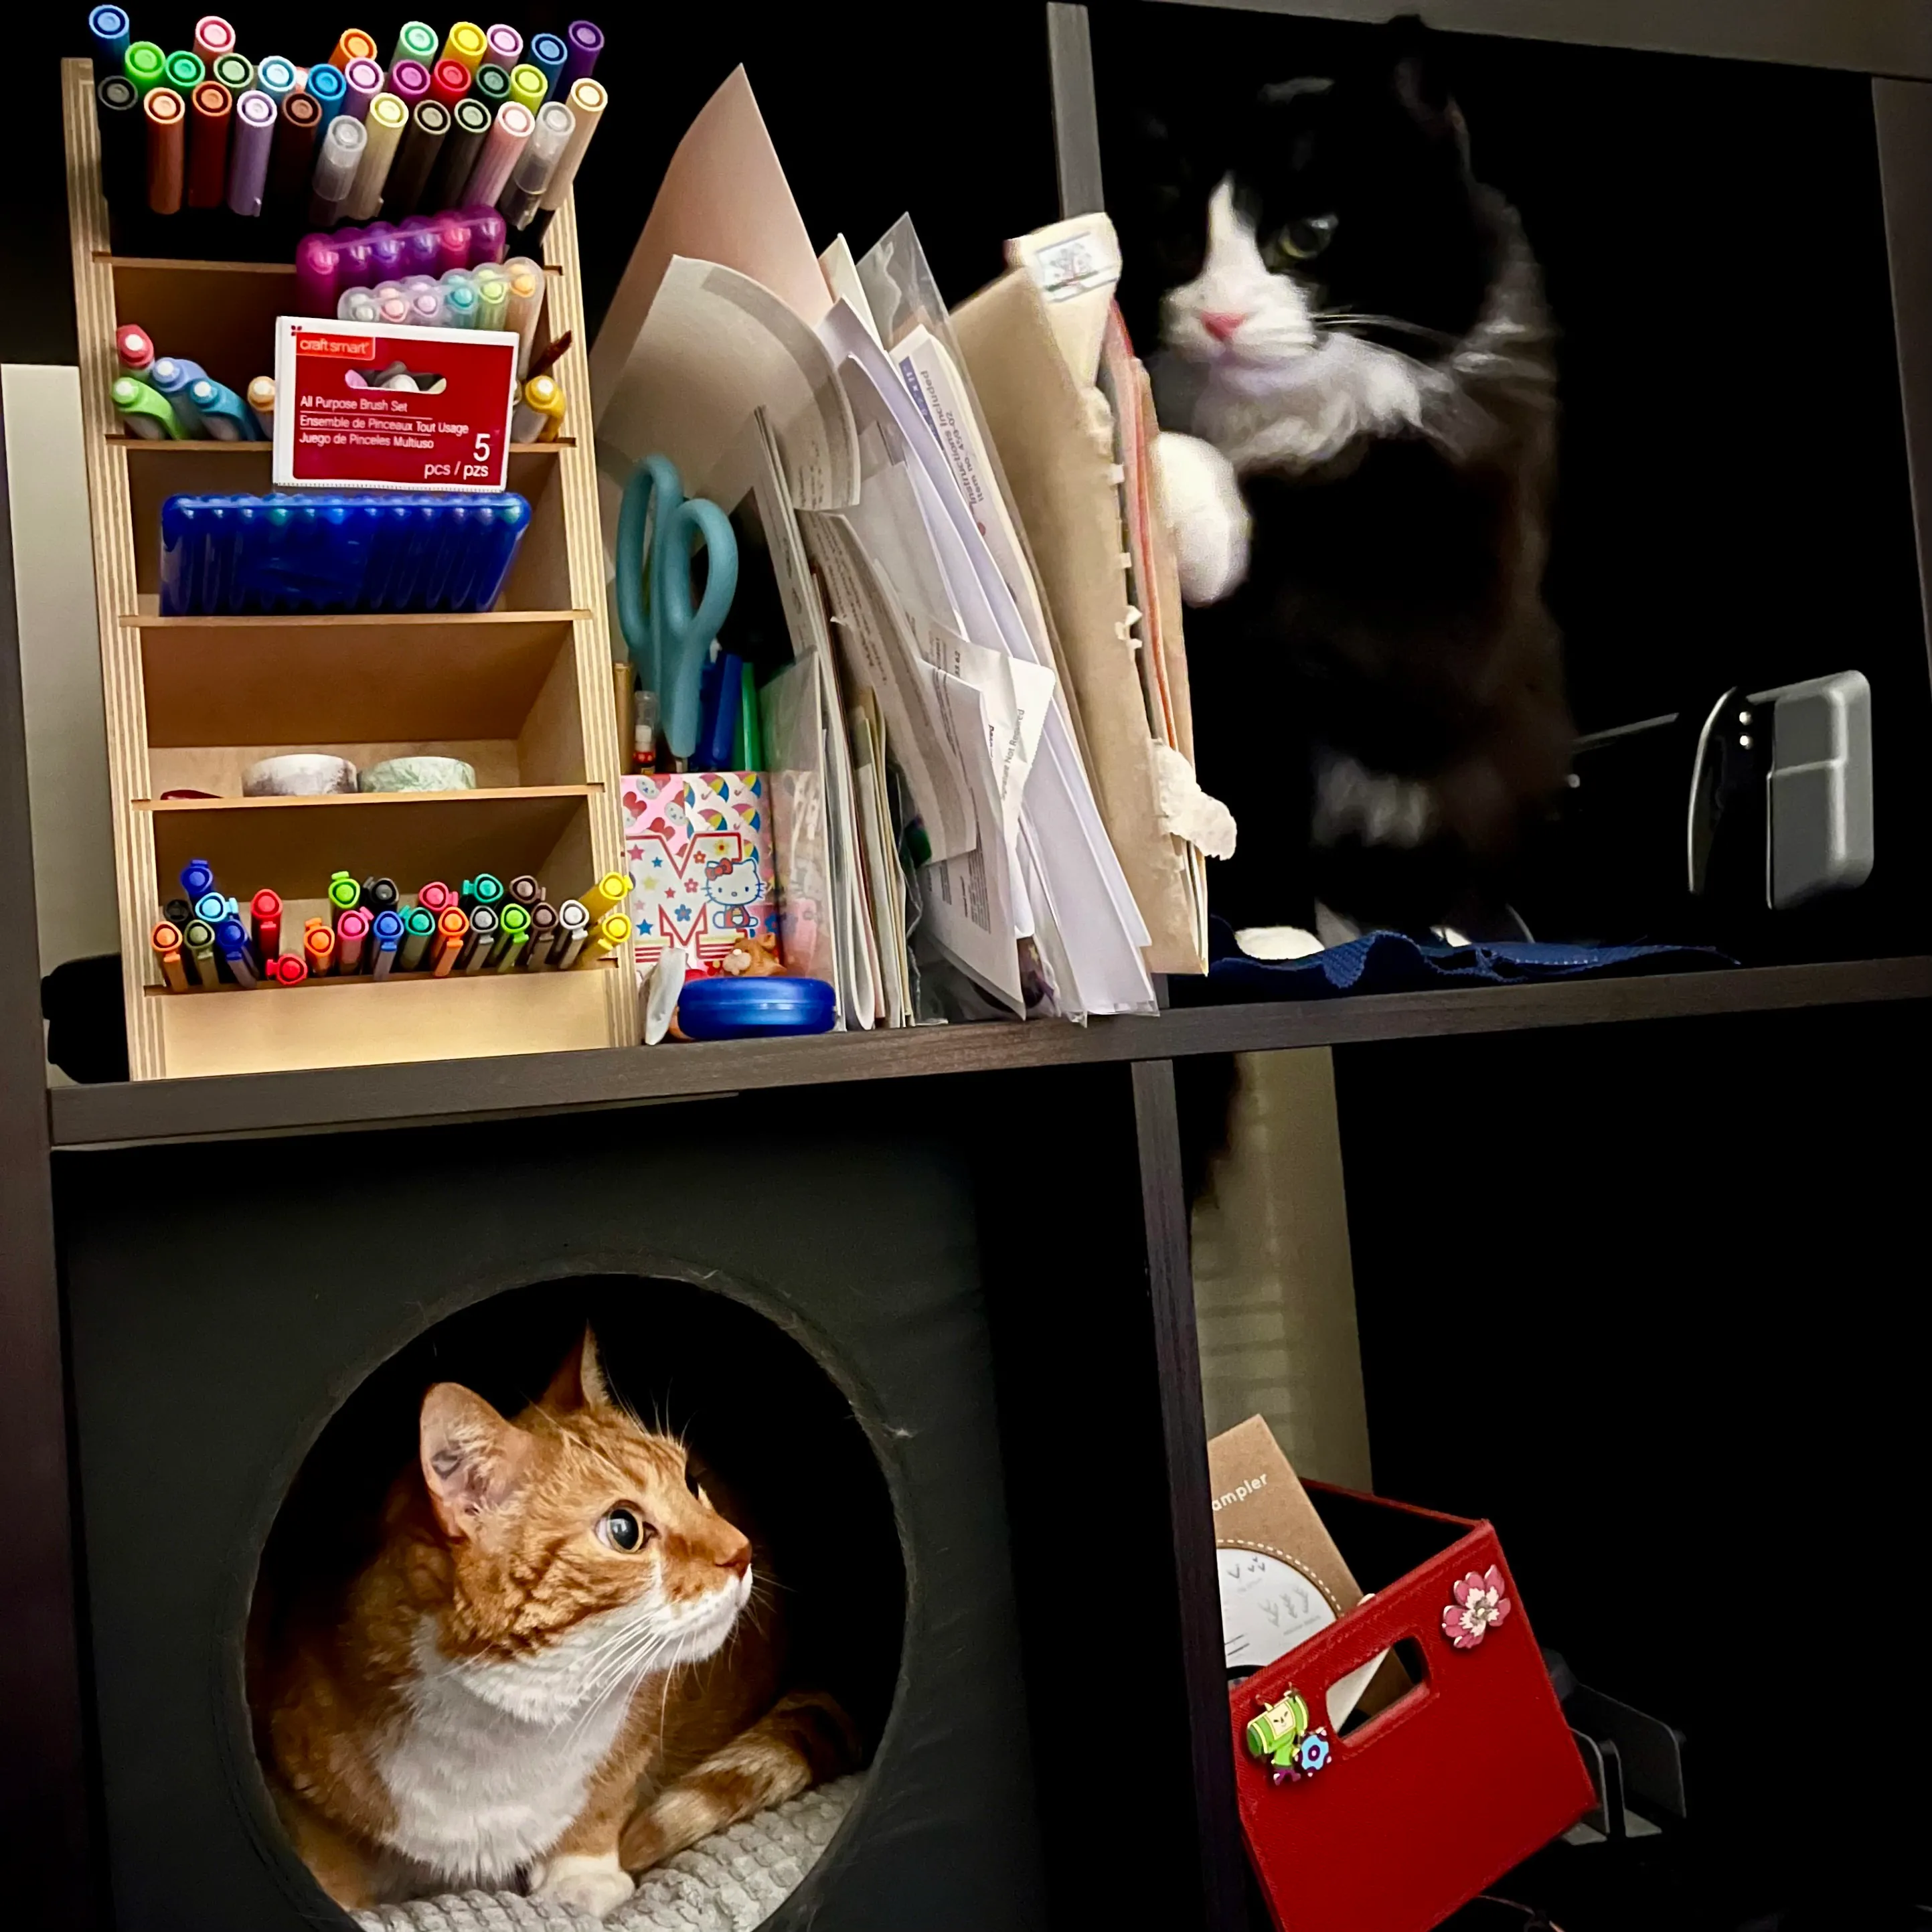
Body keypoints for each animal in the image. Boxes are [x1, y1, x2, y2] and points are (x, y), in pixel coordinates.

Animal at [253, 1329, 858, 1916]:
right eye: (624, 1530)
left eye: (691, 1481)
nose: (742, 1551)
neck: (508, 1732)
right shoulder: (297, 1772)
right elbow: (325, 1859)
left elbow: (607, 1795)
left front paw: (581, 1875)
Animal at [1143, 26, 1568, 939]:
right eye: (1182, 242)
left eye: (1307, 234)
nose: (1219, 317)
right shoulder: (1234, 693)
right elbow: (1248, 788)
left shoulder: (1452, 590)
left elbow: (1318, 566)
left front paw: (1177, 469)